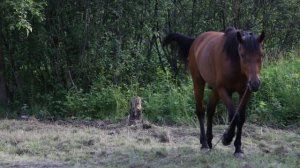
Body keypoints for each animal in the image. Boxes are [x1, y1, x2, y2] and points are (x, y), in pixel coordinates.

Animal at [164, 27, 264, 158]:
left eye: (261, 55)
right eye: (242, 55)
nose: (255, 83)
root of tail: (196, 40)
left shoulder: (245, 92)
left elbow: (241, 118)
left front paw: (238, 149)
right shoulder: (223, 89)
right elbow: (234, 115)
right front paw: (227, 138)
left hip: (215, 90)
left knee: (210, 110)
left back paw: (209, 141)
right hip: (199, 82)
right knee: (201, 111)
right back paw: (204, 144)